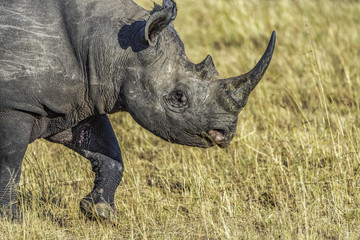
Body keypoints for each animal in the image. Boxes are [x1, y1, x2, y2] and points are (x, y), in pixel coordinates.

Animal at [0, 0, 276, 220]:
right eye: (178, 97)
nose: (226, 133)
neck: (113, 47)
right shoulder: (15, 106)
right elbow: (11, 163)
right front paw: (14, 220)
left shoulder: (78, 100)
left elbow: (108, 150)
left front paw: (100, 212)